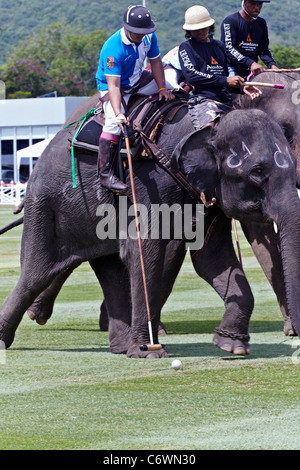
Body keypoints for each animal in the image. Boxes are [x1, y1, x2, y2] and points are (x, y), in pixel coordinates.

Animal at [0, 104, 300, 360]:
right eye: (257, 171)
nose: (294, 335)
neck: (210, 124)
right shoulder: (148, 183)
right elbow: (146, 253)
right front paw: (150, 353)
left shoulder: (205, 197)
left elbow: (212, 259)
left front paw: (232, 346)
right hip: (47, 205)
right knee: (37, 273)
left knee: (110, 270)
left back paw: (121, 348)